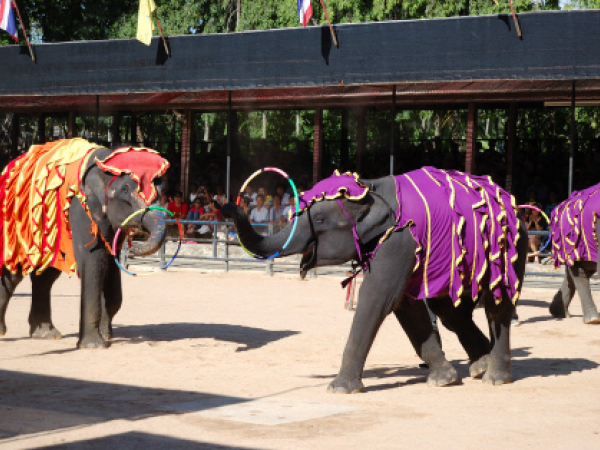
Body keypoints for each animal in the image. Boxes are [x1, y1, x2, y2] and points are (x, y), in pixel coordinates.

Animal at [0, 139, 169, 350]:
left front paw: (107, 336)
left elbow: (111, 266)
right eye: (125, 190)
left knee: (45, 276)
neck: (105, 159)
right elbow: (94, 258)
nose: (134, 245)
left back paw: (46, 334)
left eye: (163, 191)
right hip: (19, 226)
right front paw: (94, 345)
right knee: (14, 271)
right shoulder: (81, 207)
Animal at [223, 167, 528, 392]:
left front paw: (340, 389)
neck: (369, 187)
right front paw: (444, 379)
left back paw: (495, 377)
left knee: (496, 306)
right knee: (450, 311)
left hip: (509, 247)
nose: (227, 203)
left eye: (319, 219)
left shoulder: (398, 241)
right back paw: (479, 366)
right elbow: (405, 306)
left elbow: (378, 298)